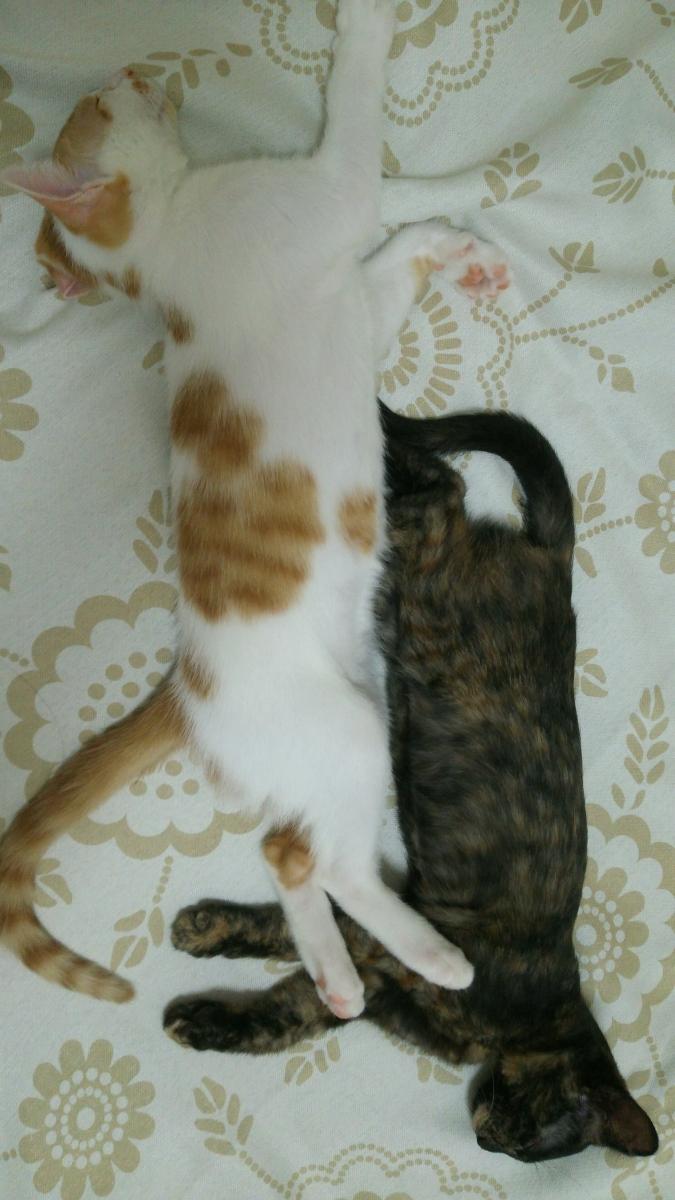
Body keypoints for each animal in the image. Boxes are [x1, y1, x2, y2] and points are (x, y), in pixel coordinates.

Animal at [0, 0, 510, 1015]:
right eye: (92, 109)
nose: (122, 71)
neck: (167, 239)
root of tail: (189, 686)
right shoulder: (325, 200)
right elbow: (357, 132)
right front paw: (365, 26)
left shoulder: (349, 294)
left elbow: (397, 254)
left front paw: (460, 251)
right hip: (348, 732)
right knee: (332, 862)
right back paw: (430, 955)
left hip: (343, 719)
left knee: (287, 850)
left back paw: (337, 974)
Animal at [165, 404, 659, 1163]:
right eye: (535, 1133)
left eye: (523, 1150)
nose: (485, 1141)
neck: (539, 1017)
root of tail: (555, 558)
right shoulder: (399, 949)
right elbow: (296, 924)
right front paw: (211, 933)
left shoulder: (376, 979)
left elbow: (287, 1010)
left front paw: (206, 1001)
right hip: (426, 561)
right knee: (439, 484)